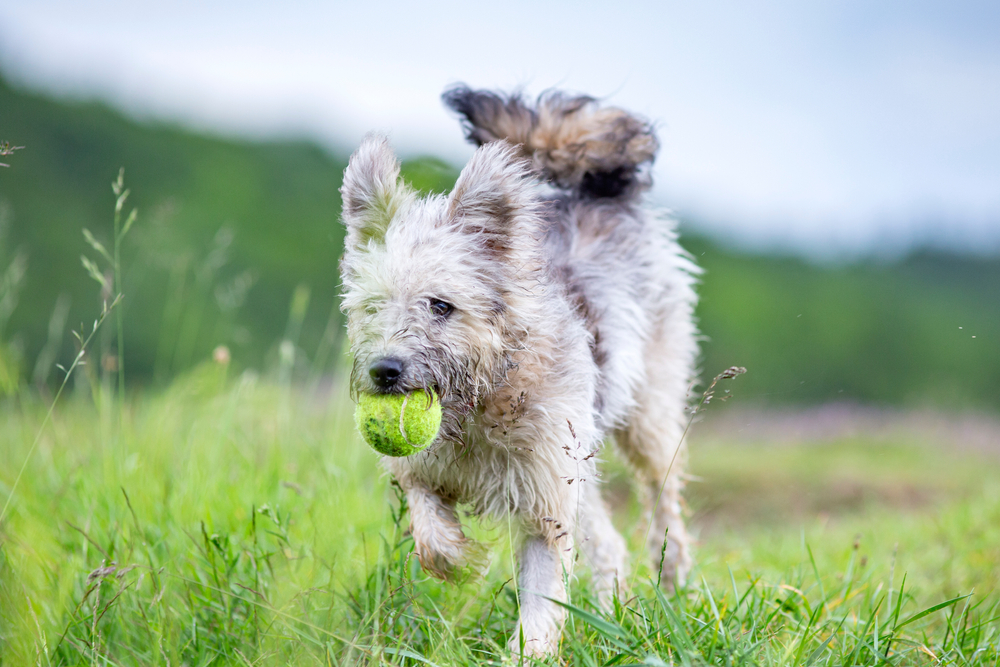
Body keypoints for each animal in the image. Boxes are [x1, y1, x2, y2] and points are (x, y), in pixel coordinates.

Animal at [340, 85, 700, 656]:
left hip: (648, 421)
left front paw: (529, 654)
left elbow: (541, 600)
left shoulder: (545, 507)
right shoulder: (423, 471)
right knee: (610, 543)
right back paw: (610, 614)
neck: (481, 401)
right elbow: (429, 528)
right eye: (373, 308)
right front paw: (462, 561)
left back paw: (674, 584)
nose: (384, 371)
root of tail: (593, 193)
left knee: (664, 501)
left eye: (441, 306)